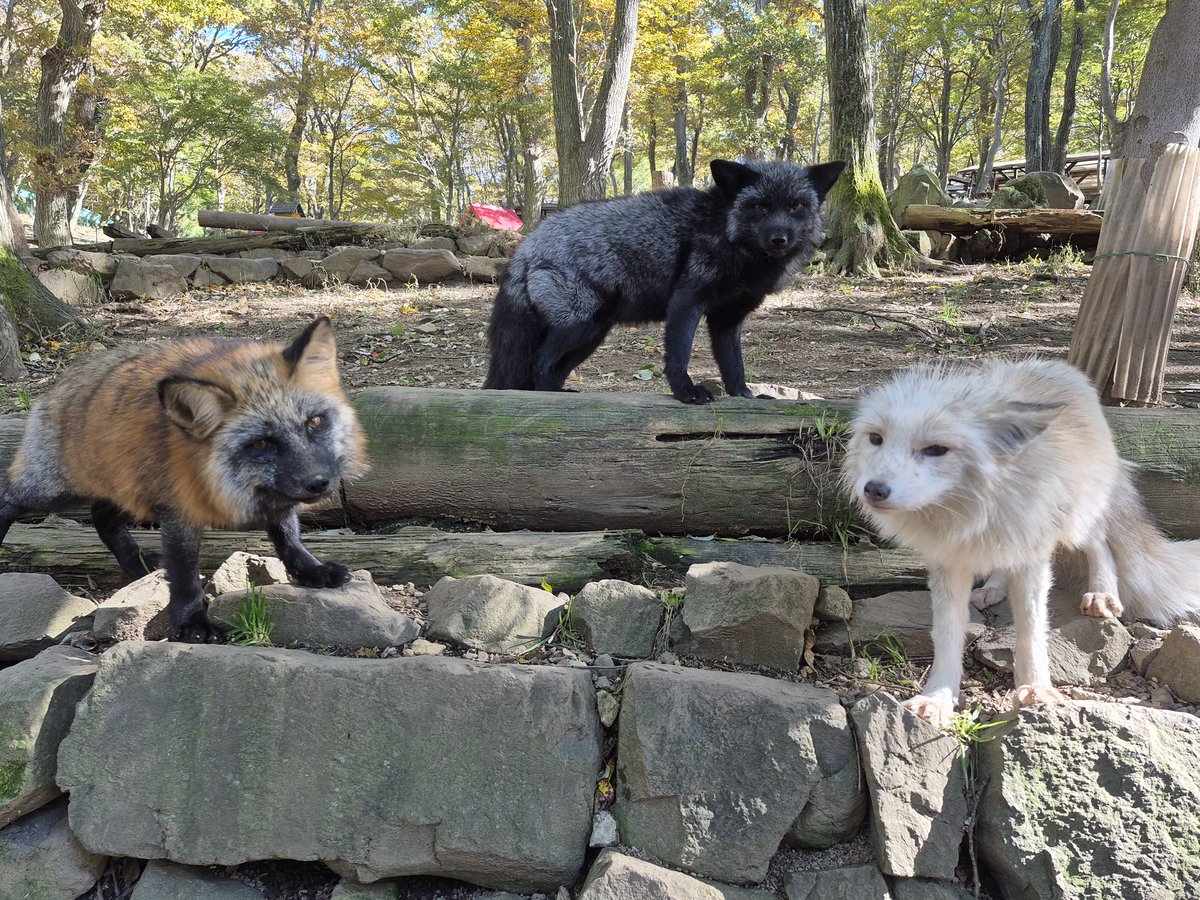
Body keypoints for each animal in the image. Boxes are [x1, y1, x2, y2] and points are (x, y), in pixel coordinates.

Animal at [0, 317, 367, 642]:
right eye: (262, 443)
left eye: (315, 422)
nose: (319, 483)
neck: (228, 484)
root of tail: (65, 376)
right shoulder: (179, 511)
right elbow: (185, 573)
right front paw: (192, 623)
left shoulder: (275, 497)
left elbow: (288, 538)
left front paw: (311, 571)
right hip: (53, 490)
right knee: (10, 497)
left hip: (134, 492)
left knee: (101, 516)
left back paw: (138, 566)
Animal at [484, 158, 846, 404]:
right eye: (760, 206)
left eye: (796, 206)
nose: (779, 239)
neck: (724, 232)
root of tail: (527, 246)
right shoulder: (687, 302)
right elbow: (679, 355)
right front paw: (686, 393)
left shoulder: (727, 319)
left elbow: (733, 364)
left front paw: (743, 396)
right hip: (578, 326)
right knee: (540, 362)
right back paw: (552, 401)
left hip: (591, 335)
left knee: (553, 367)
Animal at [842, 357, 1200, 726]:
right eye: (876, 439)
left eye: (936, 450)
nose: (873, 489)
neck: (975, 510)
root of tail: (1055, 365)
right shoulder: (950, 562)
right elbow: (946, 635)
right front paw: (938, 697)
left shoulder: (1032, 558)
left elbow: (1031, 630)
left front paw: (1035, 687)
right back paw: (994, 586)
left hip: (1076, 515)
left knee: (1099, 541)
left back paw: (1102, 592)